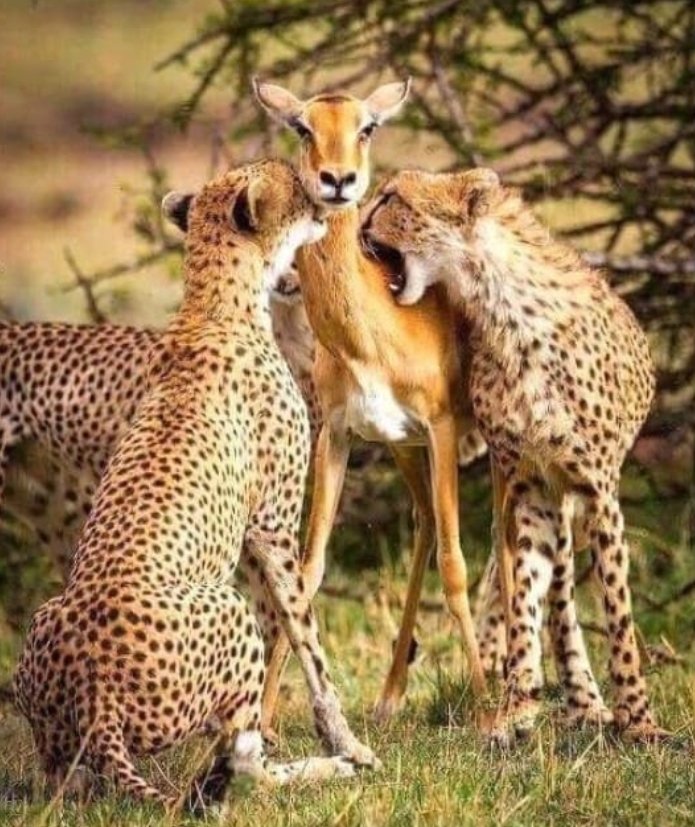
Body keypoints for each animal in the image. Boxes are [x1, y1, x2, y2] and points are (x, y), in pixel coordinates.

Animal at [12, 158, 376, 812]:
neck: (213, 304)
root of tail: (96, 698)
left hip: (47, 641)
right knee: (244, 770)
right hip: (225, 607)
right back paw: (324, 769)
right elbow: (305, 630)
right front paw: (349, 743)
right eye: (293, 184)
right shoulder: (273, 525)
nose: (328, 196)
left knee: (69, 784)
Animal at [362, 167, 668, 744]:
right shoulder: (531, 485)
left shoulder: (598, 489)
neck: (502, 311)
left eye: (392, 197)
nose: (358, 219)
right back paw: (575, 699)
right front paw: (516, 703)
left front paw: (638, 720)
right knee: (558, 595)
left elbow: (616, 609)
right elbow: (525, 591)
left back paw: (591, 704)